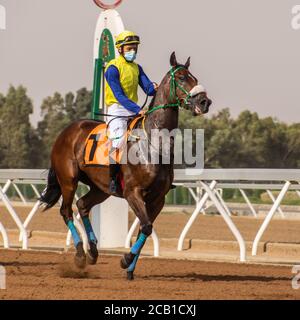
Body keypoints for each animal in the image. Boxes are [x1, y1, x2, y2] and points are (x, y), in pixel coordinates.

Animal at [39, 52, 212, 280]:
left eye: (195, 77)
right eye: (182, 77)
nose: (205, 101)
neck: (153, 143)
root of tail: (65, 132)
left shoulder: (158, 199)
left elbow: (145, 229)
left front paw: (129, 269)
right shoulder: (133, 192)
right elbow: (146, 227)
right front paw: (125, 260)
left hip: (101, 188)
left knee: (83, 205)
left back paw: (93, 251)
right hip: (68, 180)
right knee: (66, 211)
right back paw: (80, 255)